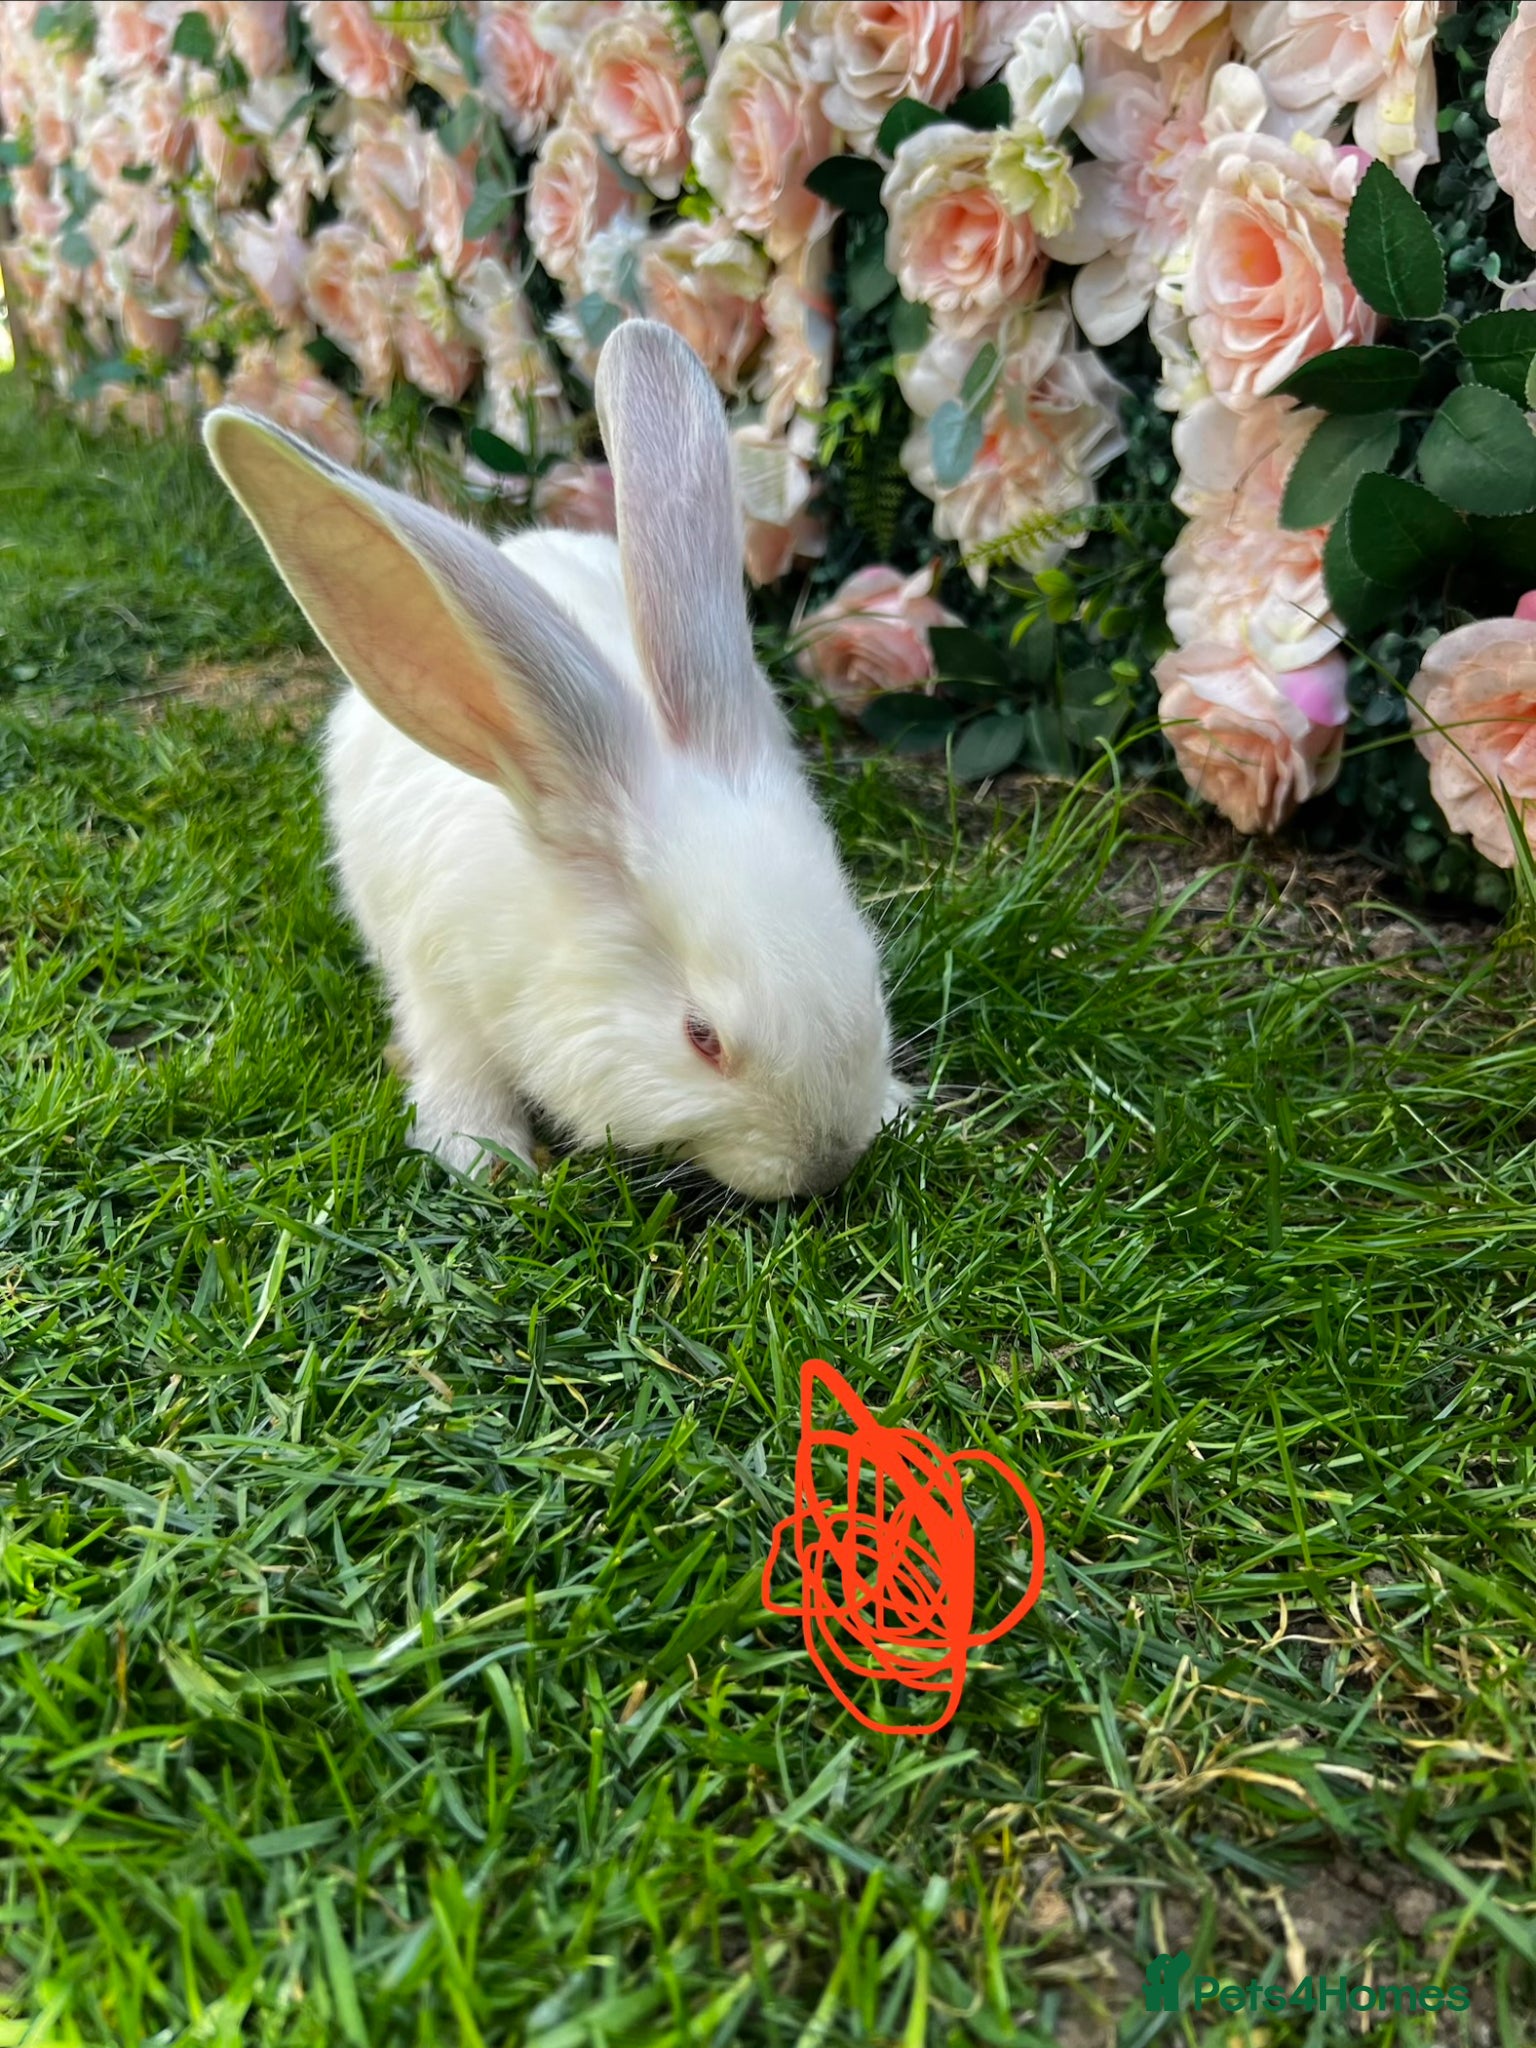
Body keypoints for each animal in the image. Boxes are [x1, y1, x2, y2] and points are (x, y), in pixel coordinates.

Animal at [202, 319, 906, 1198]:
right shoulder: (437, 980)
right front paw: (478, 1152)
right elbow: (454, 1058)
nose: (828, 1161)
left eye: (870, 968)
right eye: (700, 1036)